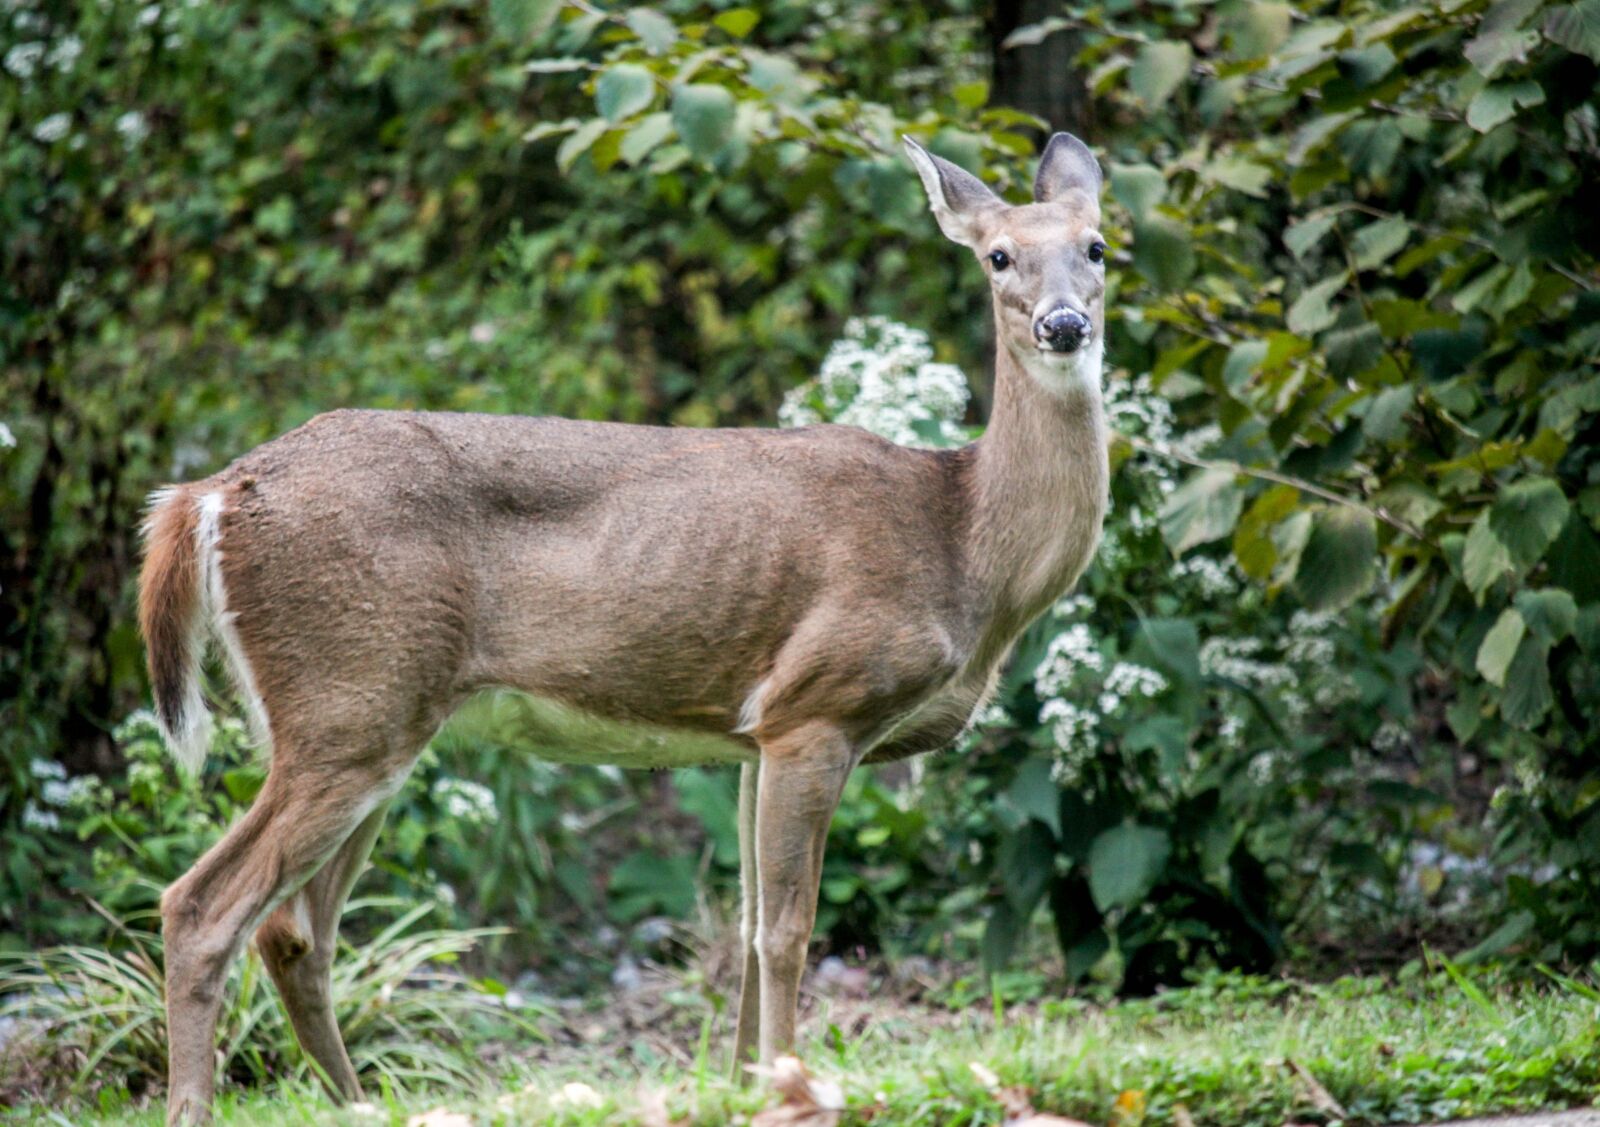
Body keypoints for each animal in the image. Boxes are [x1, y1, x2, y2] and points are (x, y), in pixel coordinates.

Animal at [137, 132, 1109, 1125]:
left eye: (1098, 247)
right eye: (999, 257)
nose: (1064, 323)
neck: (960, 539)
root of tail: (207, 494)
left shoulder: (754, 733)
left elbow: (749, 922)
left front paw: (741, 1079)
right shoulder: (818, 705)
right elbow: (788, 927)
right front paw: (792, 1083)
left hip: (365, 718)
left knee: (295, 930)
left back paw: (362, 1102)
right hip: (351, 698)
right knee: (202, 906)